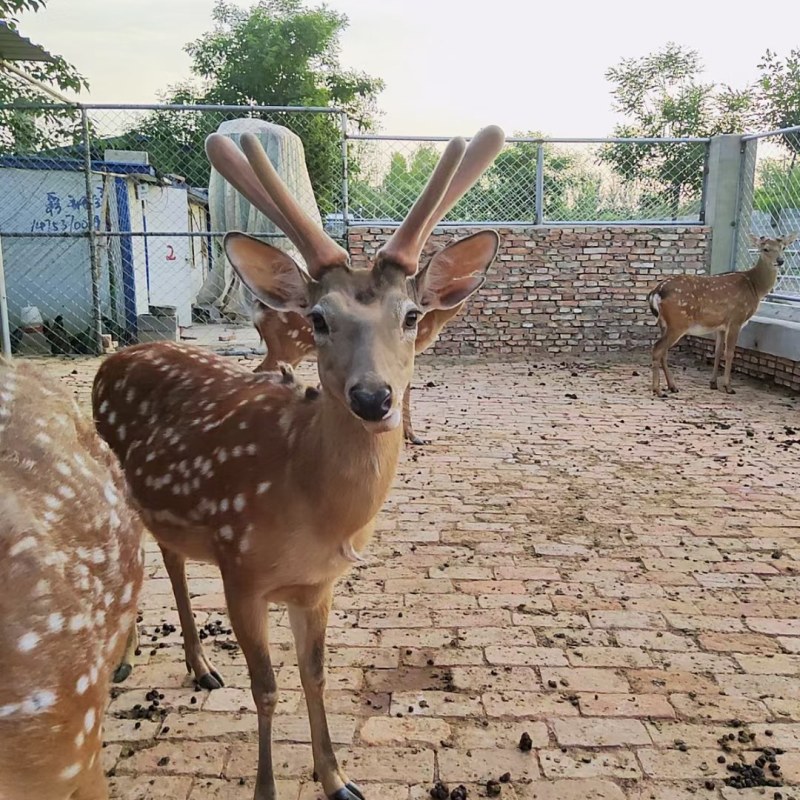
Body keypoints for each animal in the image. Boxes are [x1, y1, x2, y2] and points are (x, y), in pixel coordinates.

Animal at [647, 232, 796, 396]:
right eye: (765, 249)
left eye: (783, 247)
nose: (780, 261)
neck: (755, 287)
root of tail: (656, 292)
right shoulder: (736, 319)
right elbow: (729, 352)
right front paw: (728, 387)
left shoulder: (721, 326)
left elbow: (718, 351)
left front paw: (713, 383)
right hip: (678, 322)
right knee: (657, 348)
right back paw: (657, 389)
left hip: (664, 324)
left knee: (663, 351)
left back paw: (672, 386)